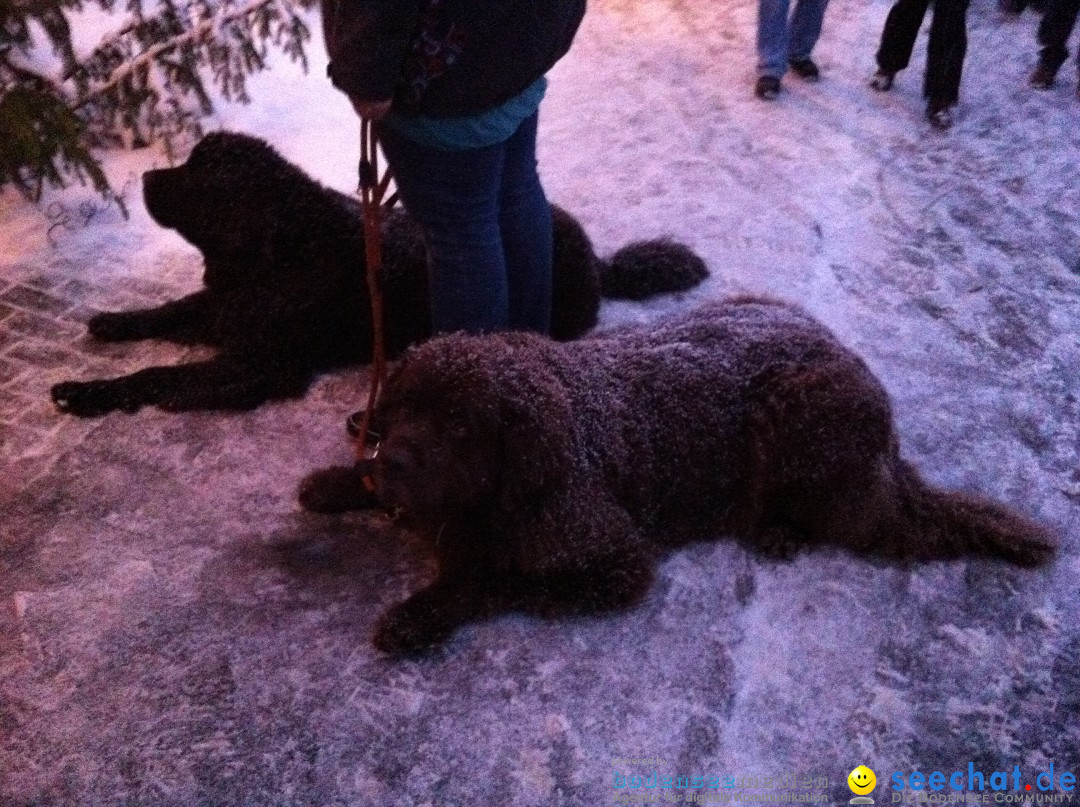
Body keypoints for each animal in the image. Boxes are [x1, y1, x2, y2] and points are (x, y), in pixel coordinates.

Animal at [52, 131, 708, 417]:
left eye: (200, 176)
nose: (145, 178)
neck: (276, 252)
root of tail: (597, 257)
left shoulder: (266, 359)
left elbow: (163, 374)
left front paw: (93, 393)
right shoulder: (224, 306)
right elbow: (168, 312)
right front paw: (115, 323)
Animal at [300, 296, 1058, 656]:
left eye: (460, 426)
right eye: (402, 408)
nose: (398, 460)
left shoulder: (615, 562)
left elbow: (490, 580)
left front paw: (418, 613)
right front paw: (341, 480)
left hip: (796, 410)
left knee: (844, 518)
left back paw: (780, 530)